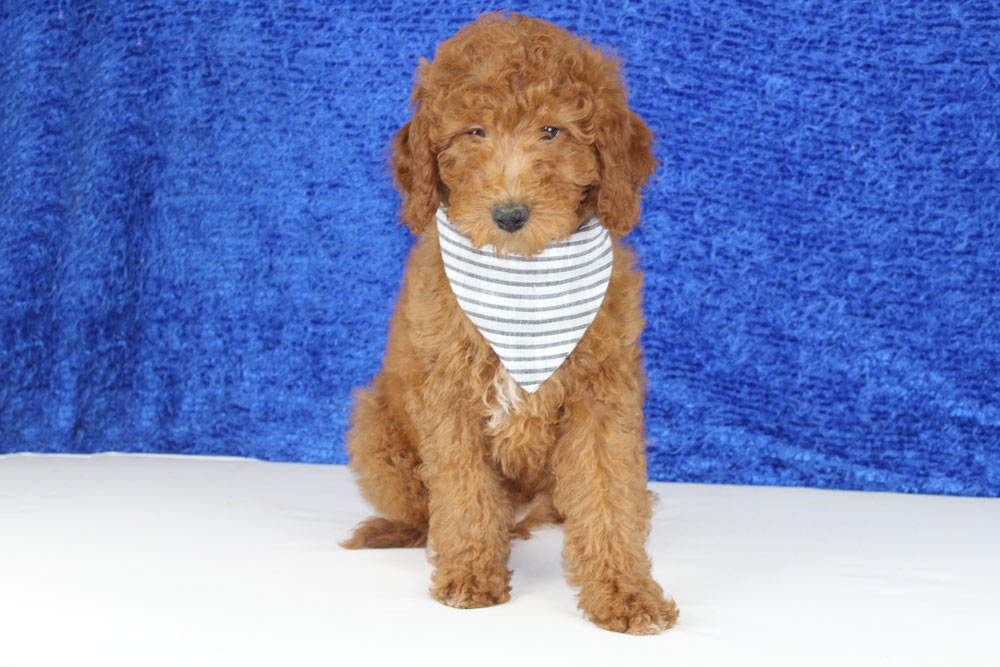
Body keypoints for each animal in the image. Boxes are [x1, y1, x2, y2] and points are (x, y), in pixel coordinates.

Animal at [343, 12, 678, 635]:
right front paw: (472, 574)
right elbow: (465, 495)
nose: (510, 214)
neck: (523, 277)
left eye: (552, 131)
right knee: (426, 509)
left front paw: (625, 592)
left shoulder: (603, 397)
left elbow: (608, 496)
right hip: (375, 425)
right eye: (473, 132)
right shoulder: (449, 396)